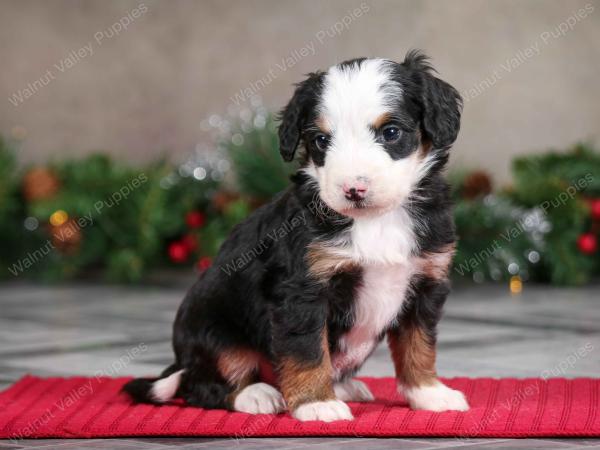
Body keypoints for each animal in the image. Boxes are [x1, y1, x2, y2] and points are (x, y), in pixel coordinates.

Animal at [123, 51, 468, 422]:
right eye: (321, 141)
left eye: (391, 132)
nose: (353, 190)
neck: (376, 221)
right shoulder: (302, 291)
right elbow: (307, 350)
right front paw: (317, 403)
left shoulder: (425, 281)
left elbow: (418, 345)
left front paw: (429, 393)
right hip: (215, 334)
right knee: (201, 385)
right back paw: (256, 395)